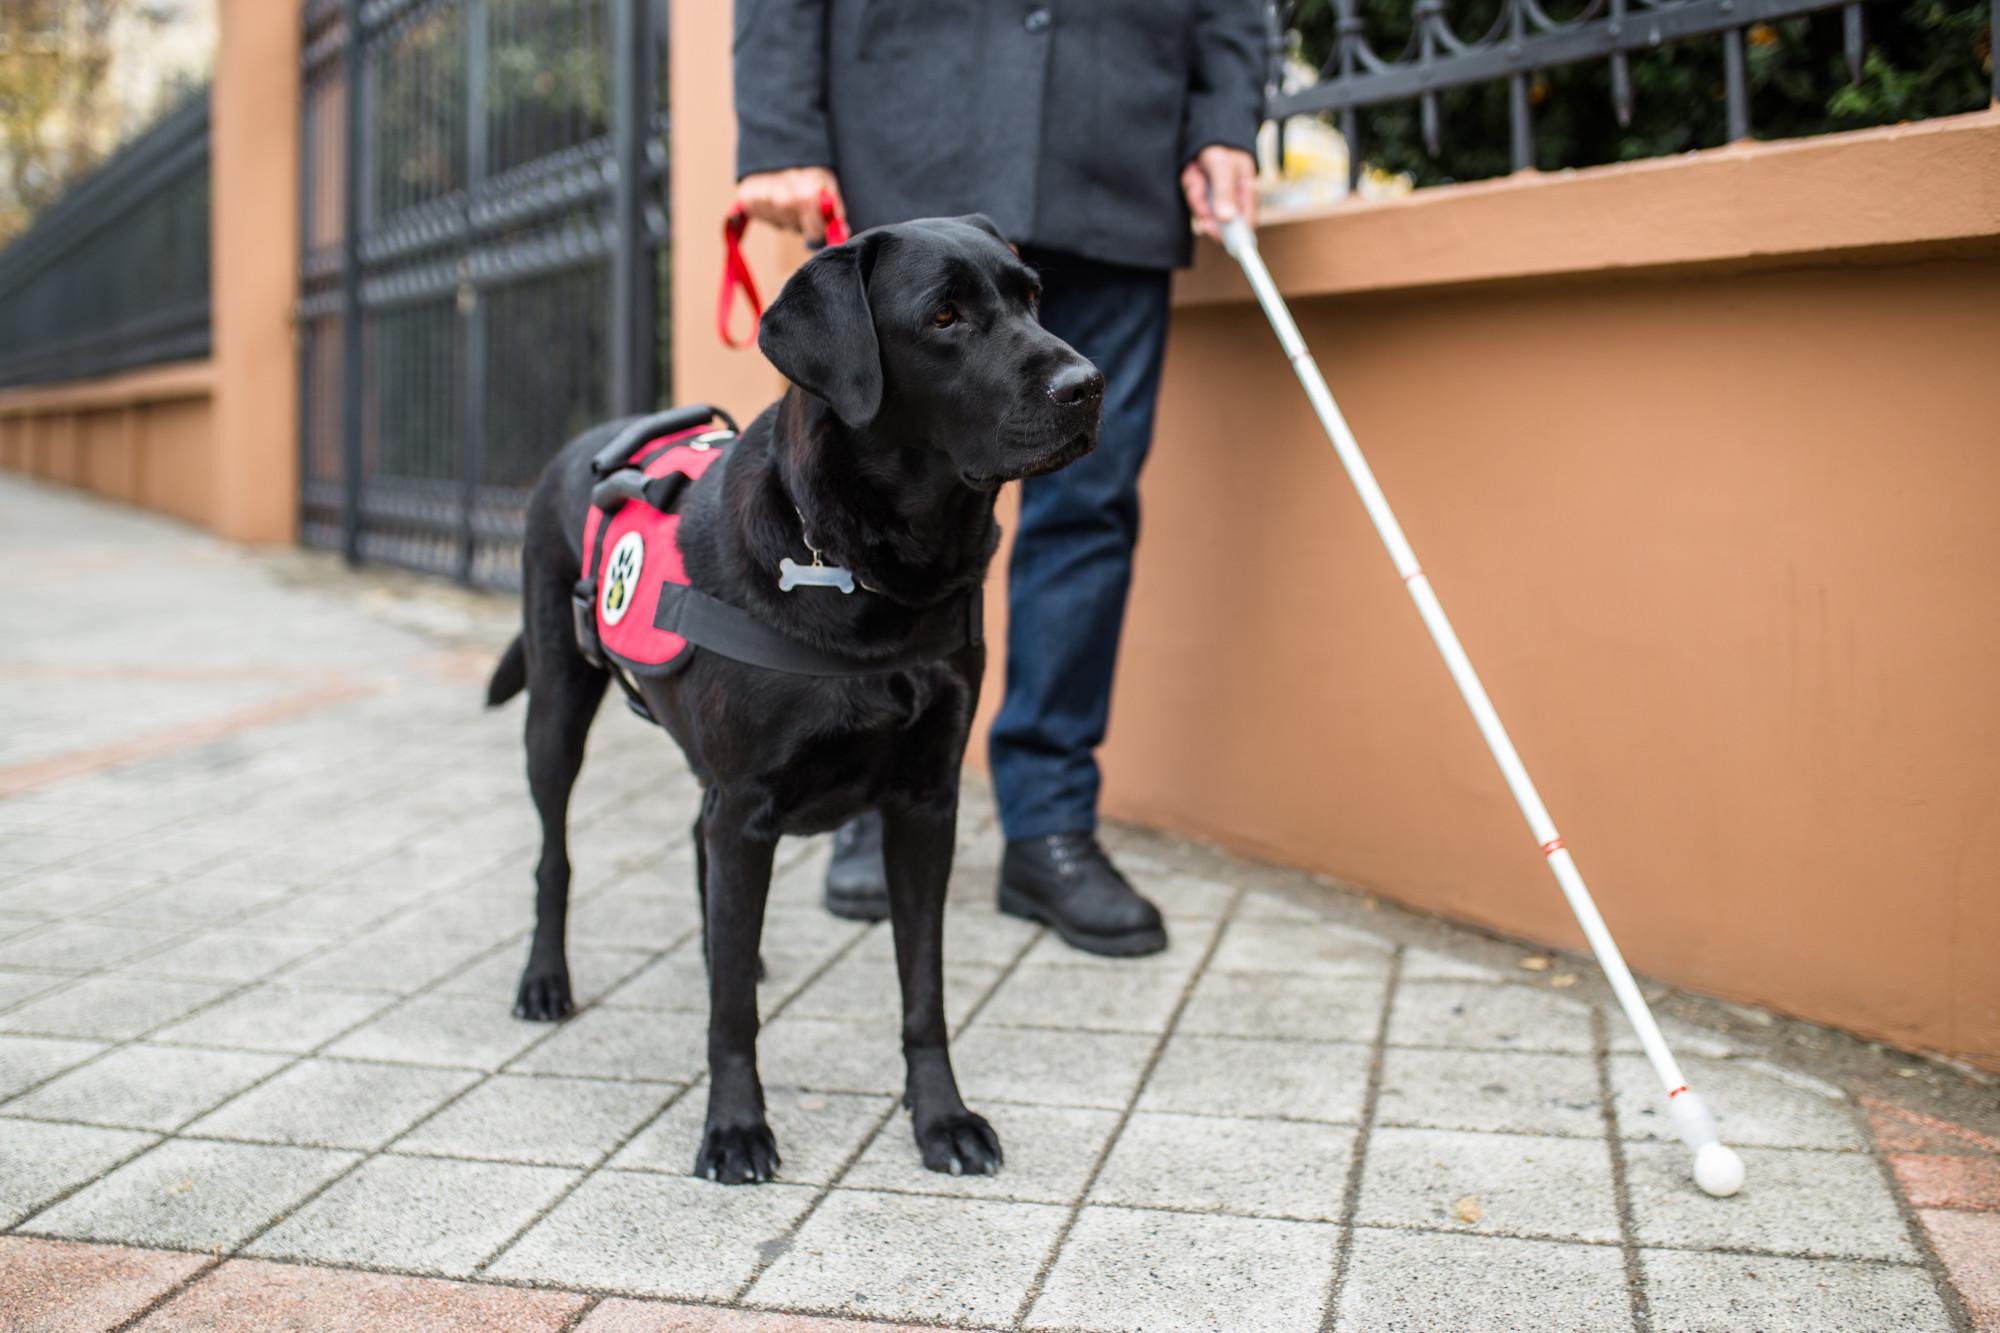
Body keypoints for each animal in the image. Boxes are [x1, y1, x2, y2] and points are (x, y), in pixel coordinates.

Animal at [490, 218, 1104, 1184]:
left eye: (1033, 296)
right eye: (944, 316)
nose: (1087, 384)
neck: (871, 574)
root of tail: (582, 443)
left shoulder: (924, 805)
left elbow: (923, 987)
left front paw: (943, 1118)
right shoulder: (747, 807)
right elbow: (733, 1016)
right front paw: (735, 1127)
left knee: (697, 857)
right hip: (556, 709)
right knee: (555, 855)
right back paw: (545, 980)